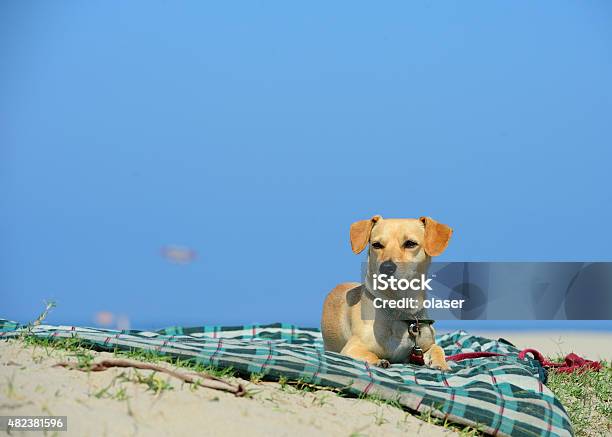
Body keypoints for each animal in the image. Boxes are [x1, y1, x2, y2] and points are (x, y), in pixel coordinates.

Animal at [322, 215, 452, 368]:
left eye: (410, 243)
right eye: (376, 245)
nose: (386, 267)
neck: (400, 309)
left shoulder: (424, 346)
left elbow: (438, 348)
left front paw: (441, 364)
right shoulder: (352, 348)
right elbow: (370, 354)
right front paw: (380, 361)